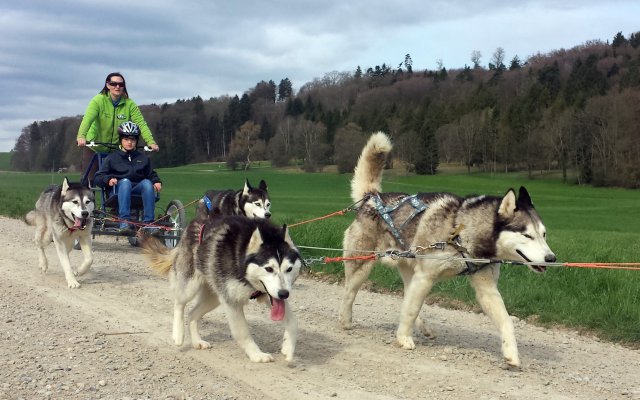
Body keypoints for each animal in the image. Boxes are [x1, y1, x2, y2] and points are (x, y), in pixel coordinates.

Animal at [141, 216, 302, 362]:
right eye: (269, 268)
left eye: (289, 269)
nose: (284, 294)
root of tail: (193, 222)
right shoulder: (232, 302)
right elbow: (243, 332)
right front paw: (257, 354)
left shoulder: (267, 294)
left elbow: (294, 322)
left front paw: (288, 347)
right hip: (190, 287)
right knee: (179, 304)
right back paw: (178, 334)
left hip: (214, 297)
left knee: (192, 314)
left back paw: (197, 341)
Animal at [340, 132, 556, 368]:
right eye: (527, 235)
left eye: (544, 234)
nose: (551, 258)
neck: (463, 231)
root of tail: (373, 198)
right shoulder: (425, 276)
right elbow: (411, 309)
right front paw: (403, 338)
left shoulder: (485, 287)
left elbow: (506, 320)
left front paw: (511, 353)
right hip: (362, 265)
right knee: (349, 292)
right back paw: (345, 320)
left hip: (409, 270)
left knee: (407, 298)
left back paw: (424, 328)